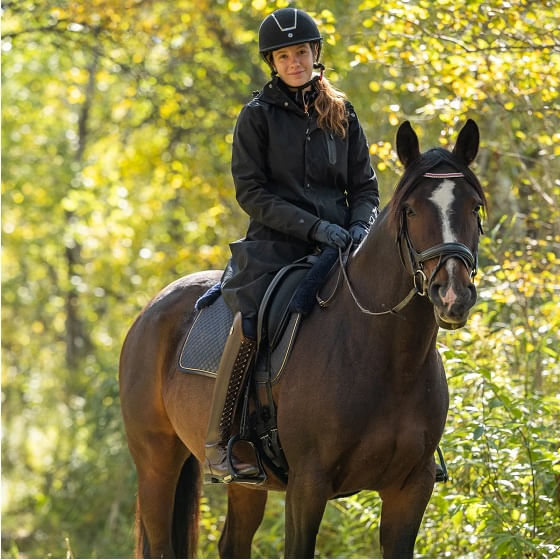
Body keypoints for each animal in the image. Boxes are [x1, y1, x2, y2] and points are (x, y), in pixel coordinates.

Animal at [118, 118, 486, 556]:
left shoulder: (411, 487)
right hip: (156, 462)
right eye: (411, 210)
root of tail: (149, 311)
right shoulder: (308, 486)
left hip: (245, 482)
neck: (385, 359)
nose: (452, 295)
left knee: (233, 541)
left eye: (474, 207)